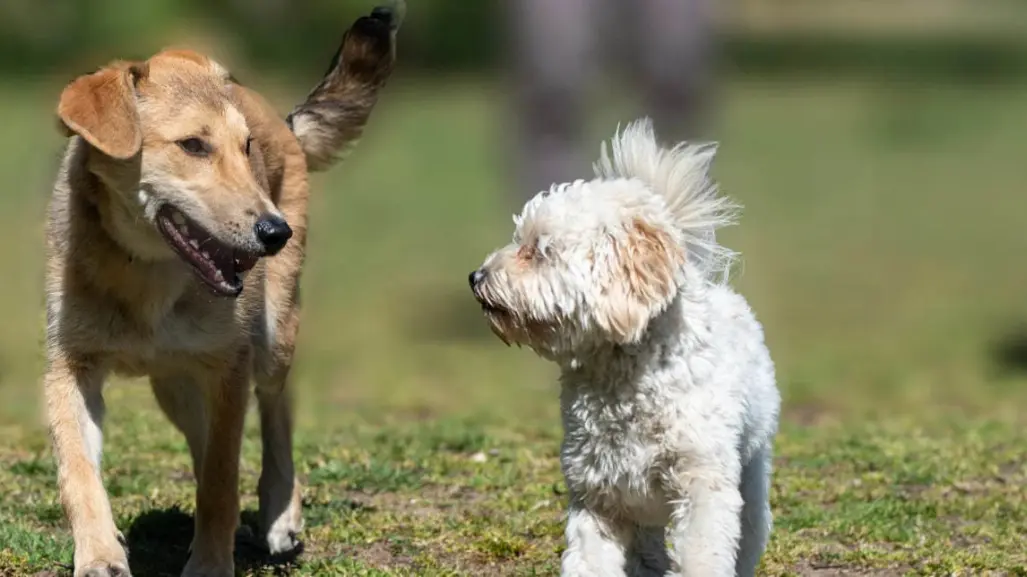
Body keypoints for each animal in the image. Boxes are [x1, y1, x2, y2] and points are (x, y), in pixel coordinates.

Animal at [42, 2, 400, 570]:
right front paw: (99, 555)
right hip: (174, 384)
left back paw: (280, 514)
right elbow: (79, 474)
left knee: (276, 410)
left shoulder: (230, 367)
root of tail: (283, 120)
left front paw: (210, 563)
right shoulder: (70, 367)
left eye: (245, 147)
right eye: (193, 145)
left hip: (273, 337)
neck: (146, 274)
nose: (276, 232)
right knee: (204, 436)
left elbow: (220, 478)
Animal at [470, 118, 776, 574]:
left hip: (750, 471)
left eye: (538, 250)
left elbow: (702, 554)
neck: (624, 374)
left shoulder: (702, 484)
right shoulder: (598, 493)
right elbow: (589, 561)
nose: (476, 277)